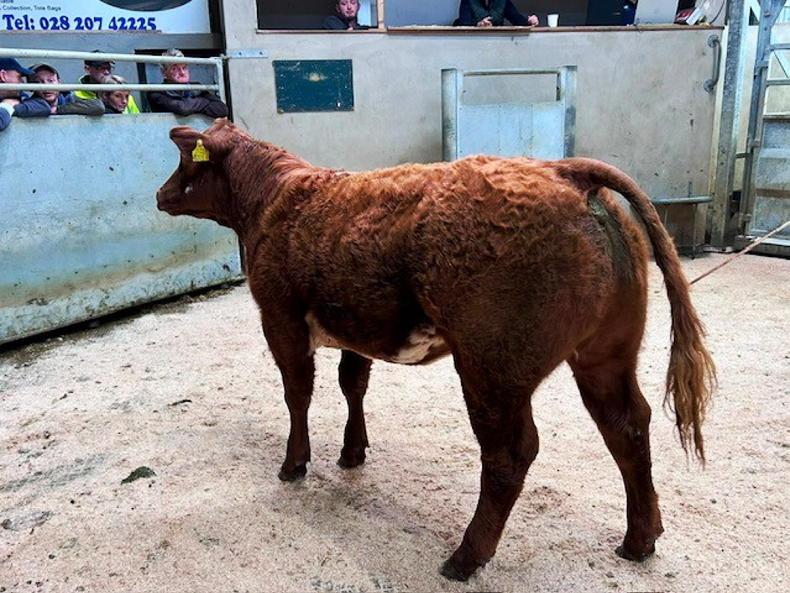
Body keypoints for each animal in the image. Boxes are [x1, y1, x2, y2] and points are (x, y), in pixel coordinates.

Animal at [156, 119, 716, 581]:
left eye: (186, 161)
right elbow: (352, 385)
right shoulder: (355, 327)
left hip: (491, 368)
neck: (277, 200)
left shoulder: (280, 319)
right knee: (626, 425)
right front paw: (352, 453)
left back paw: (466, 557)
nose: (160, 194)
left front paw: (294, 464)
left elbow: (299, 394)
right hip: (605, 353)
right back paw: (639, 539)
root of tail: (564, 171)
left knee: (511, 452)